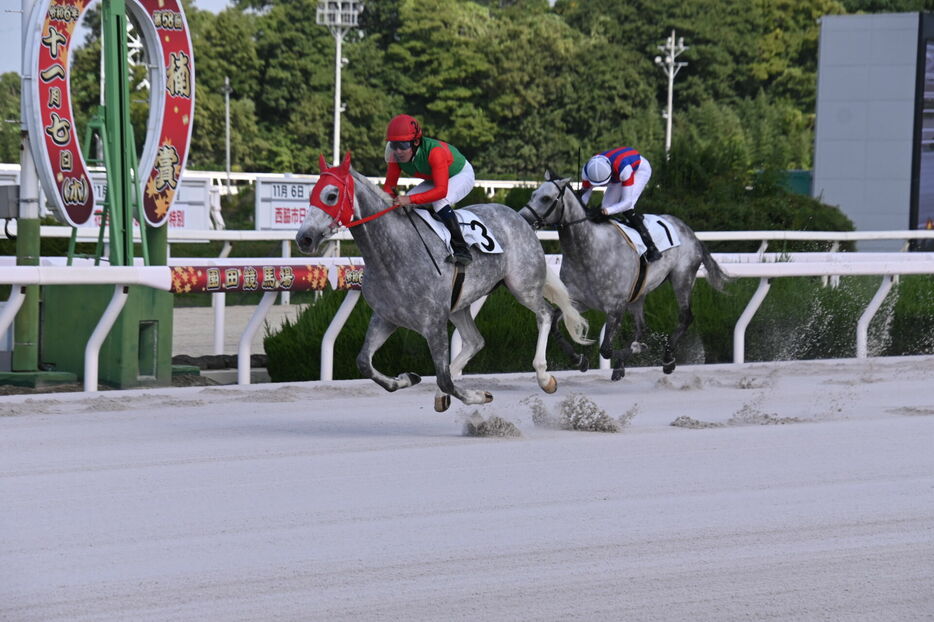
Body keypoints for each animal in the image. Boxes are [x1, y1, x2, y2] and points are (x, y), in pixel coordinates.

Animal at [520, 173, 732, 382]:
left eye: (546, 198)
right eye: (533, 194)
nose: (523, 218)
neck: (587, 252)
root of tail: (690, 233)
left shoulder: (616, 308)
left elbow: (606, 349)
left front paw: (634, 351)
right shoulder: (578, 301)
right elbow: (555, 326)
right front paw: (579, 360)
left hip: (682, 278)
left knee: (685, 317)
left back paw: (668, 359)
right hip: (639, 294)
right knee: (642, 328)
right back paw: (624, 364)